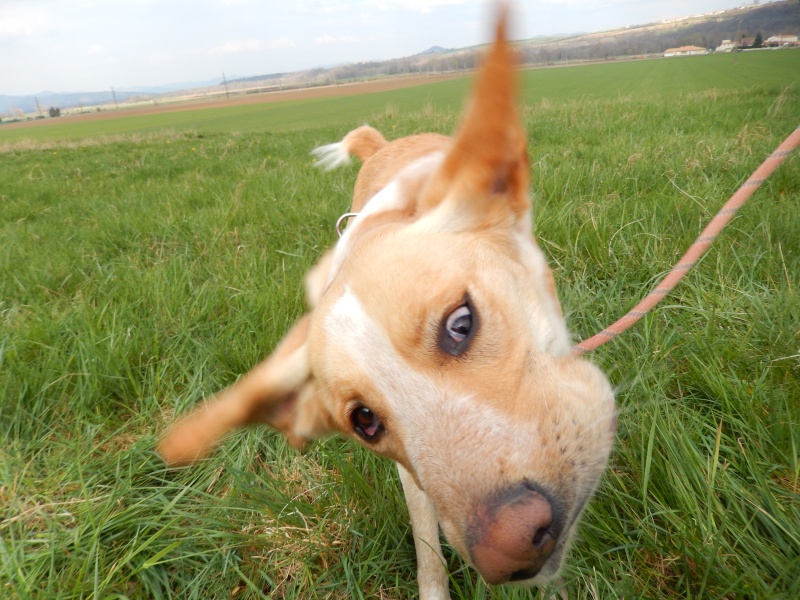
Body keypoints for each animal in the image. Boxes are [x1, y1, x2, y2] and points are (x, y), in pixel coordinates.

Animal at [158, 7, 620, 596]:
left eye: (461, 323)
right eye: (365, 422)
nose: (511, 551)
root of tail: (383, 145)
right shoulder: (414, 477)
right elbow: (427, 547)